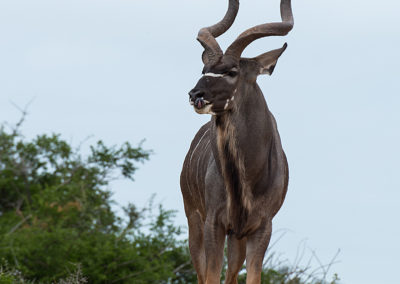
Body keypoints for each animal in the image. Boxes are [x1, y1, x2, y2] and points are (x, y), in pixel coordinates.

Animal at [181, 1, 294, 282]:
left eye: (232, 71)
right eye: (204, 70)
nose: (195, 94)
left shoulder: (261, 228)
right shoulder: (213, 223)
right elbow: (210, 275)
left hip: (236, 239)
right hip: (194, 221)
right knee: (201, 272)